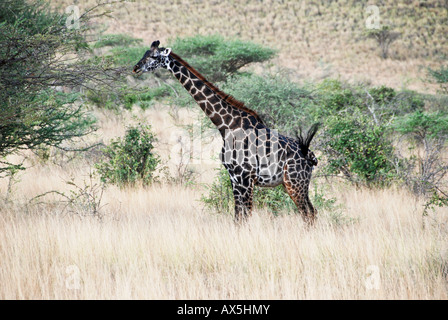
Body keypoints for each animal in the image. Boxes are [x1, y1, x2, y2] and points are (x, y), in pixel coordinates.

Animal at [132, 40, 318, 225]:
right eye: (144, 53)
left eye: (154, 56)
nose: (135, 68)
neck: (227, 125)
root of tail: (310, 155)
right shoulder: (234, 178)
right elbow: (237, 216)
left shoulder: (245, 177)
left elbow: (245, 215)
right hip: (294, 183)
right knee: (312, 212)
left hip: (294, 181)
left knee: (308, 213)